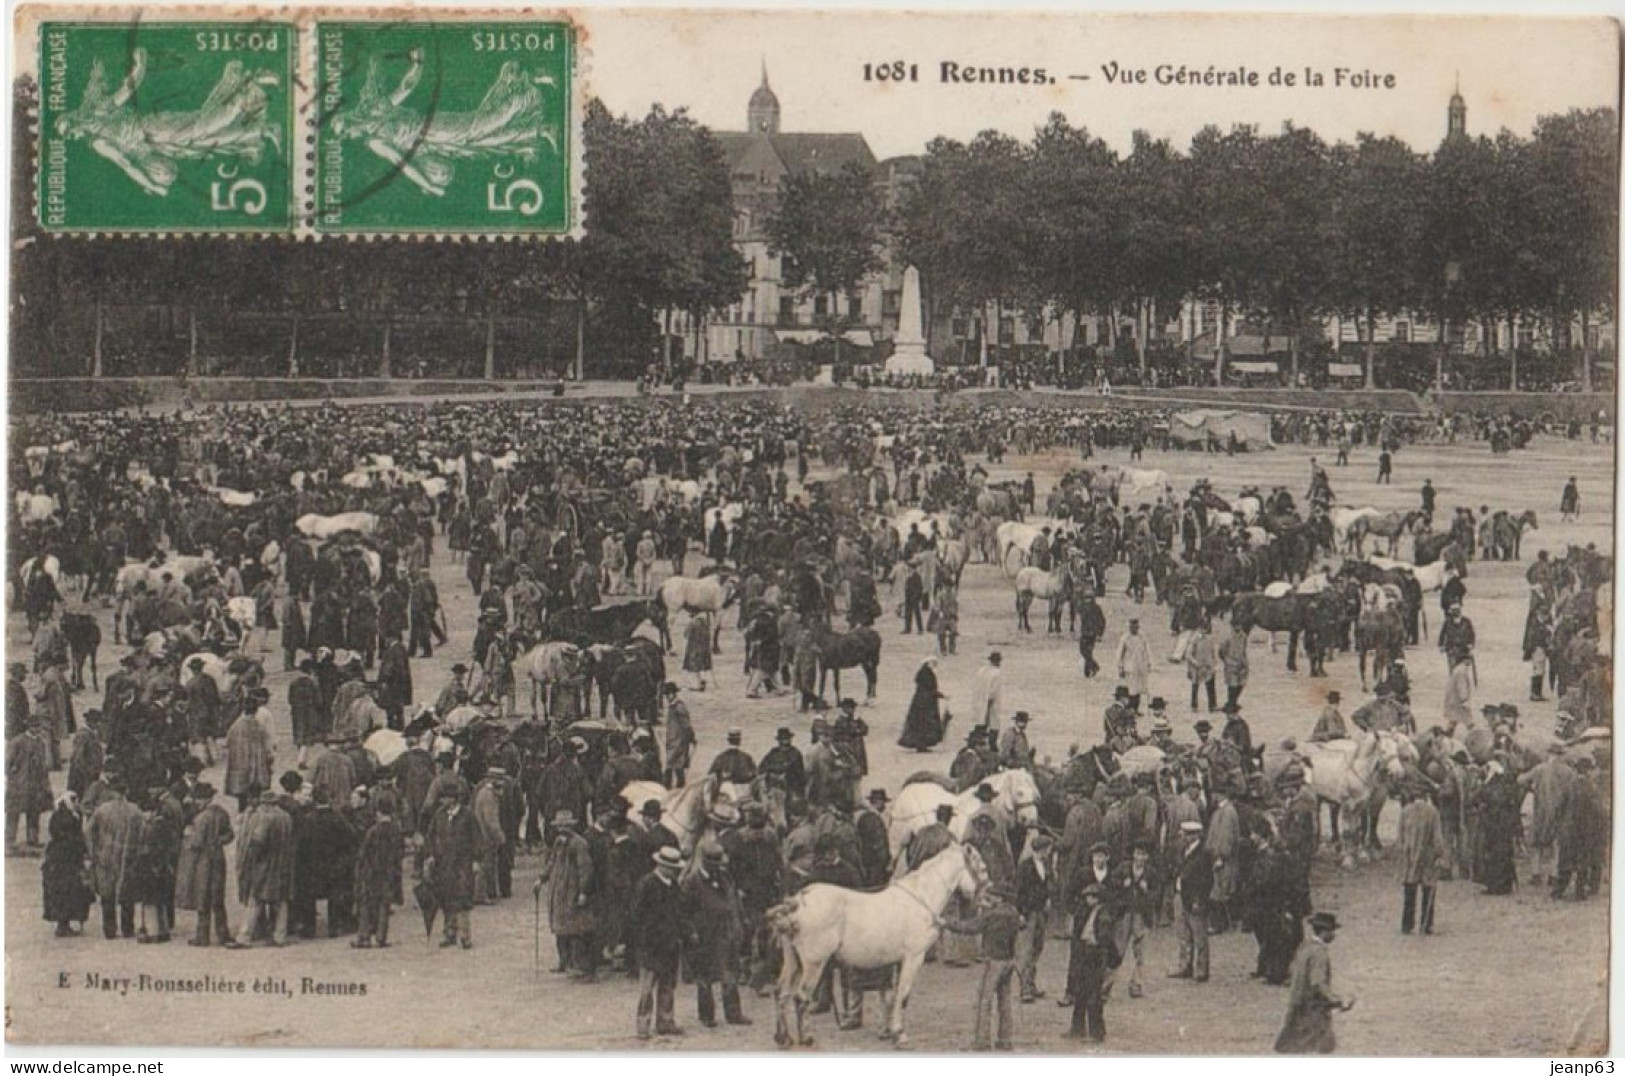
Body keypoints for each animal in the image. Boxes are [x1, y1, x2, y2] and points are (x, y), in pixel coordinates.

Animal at [767, 845, 981, 1046]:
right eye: (979, 863)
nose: (980, 895)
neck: (921, 897)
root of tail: (797, 902)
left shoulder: (898, 962)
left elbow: (893, 996)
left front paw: (890, 1031)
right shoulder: (914, 957)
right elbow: (903, 995)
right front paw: (899, 1034)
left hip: (794, 962)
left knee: (781, 992)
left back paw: (782, 1037)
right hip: (814, 964)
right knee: (800, 997)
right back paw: (806, 1038)